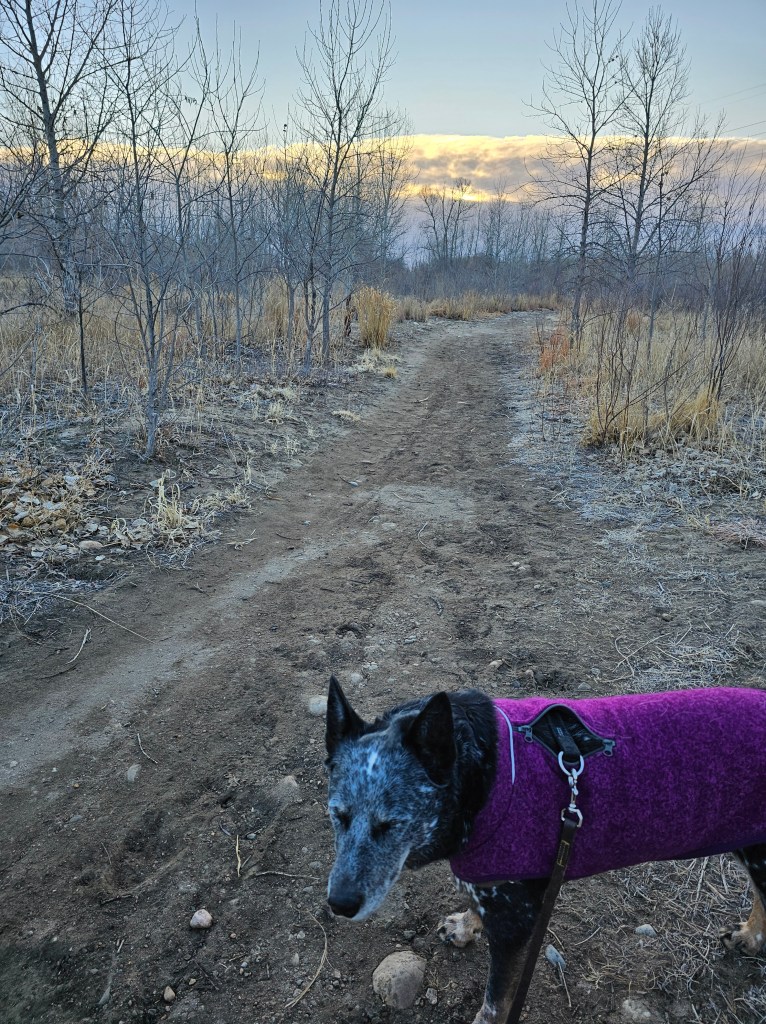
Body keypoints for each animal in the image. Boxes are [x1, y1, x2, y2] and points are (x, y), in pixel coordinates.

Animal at [324, 677, 766, 1024]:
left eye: (391, 824)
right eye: (337, 814)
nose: (339, 904)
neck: (482, 778)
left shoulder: (516, 924)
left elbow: (495, 1002)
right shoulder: (489, 879)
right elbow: (473, 901)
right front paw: (466, 925)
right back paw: (751, 937)